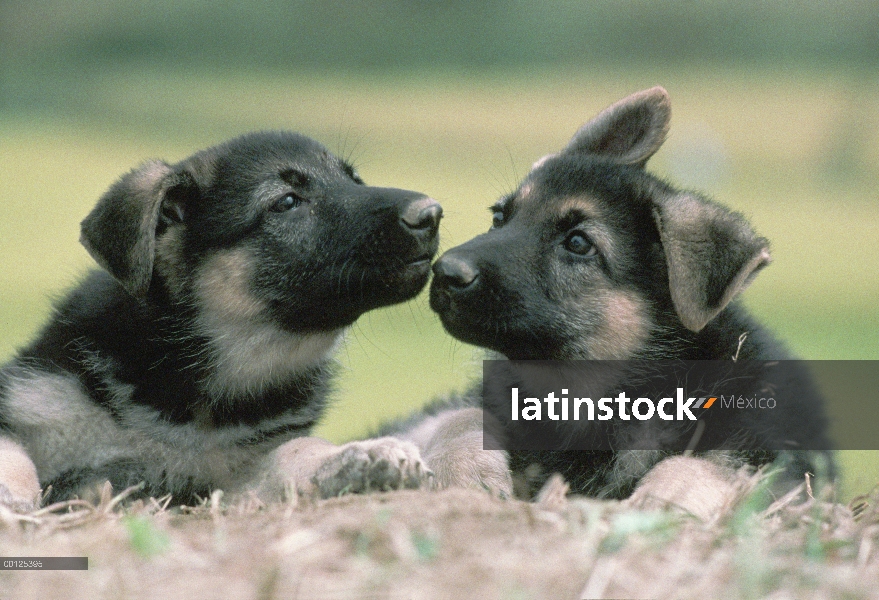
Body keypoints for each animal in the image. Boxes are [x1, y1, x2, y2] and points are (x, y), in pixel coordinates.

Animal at [0, 132, 444, 510]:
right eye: (286, 202)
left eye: (355, 181)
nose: (431, 214)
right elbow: (15, 458)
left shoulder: (232, 479)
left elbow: (295, 451)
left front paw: (361, 456)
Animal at [398, 86, 832, 504]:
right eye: (500, 218)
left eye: (578, 243)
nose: (444, 271)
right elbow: (459, 417)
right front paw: (463, 474)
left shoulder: (776, 462)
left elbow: (701, 467)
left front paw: (658, 502)